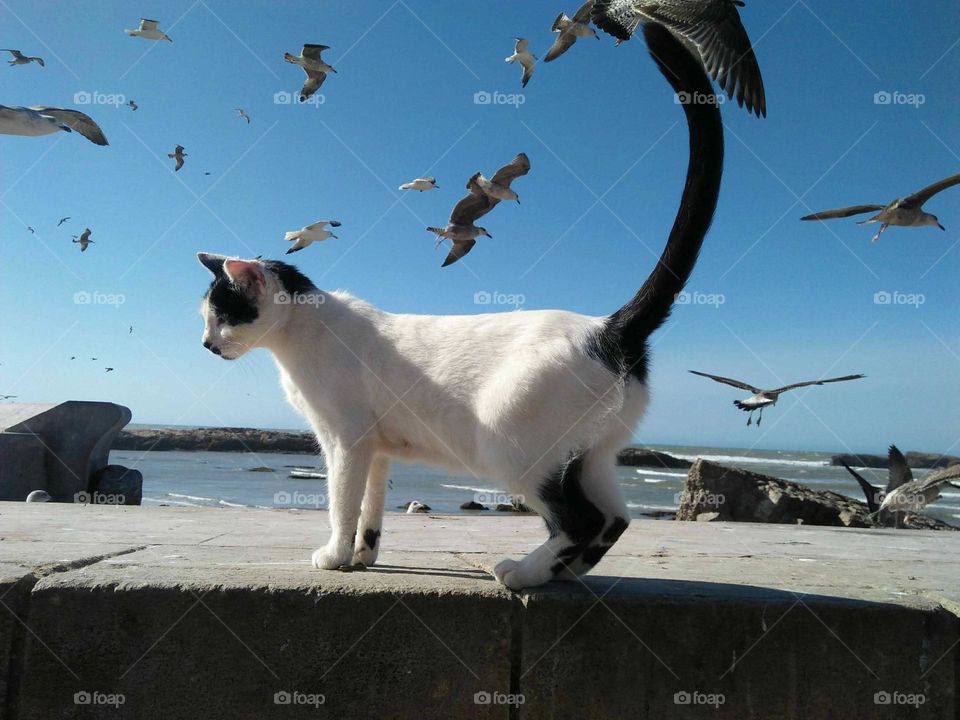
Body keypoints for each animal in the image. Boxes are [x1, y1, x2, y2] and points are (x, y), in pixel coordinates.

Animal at [195, 26, 720, 592]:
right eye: (206, 319)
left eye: (222, 315)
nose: (206, 344)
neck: (300, 332)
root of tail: (609, 327)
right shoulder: (377, 449)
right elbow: (370, 510)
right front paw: (363, 556)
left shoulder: (345, 441)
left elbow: (342, 504)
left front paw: (335, 556)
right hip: (591, 456)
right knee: (614, 519)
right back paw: (559, 574)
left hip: (514, 448)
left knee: (580, 520)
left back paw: (522, 573)